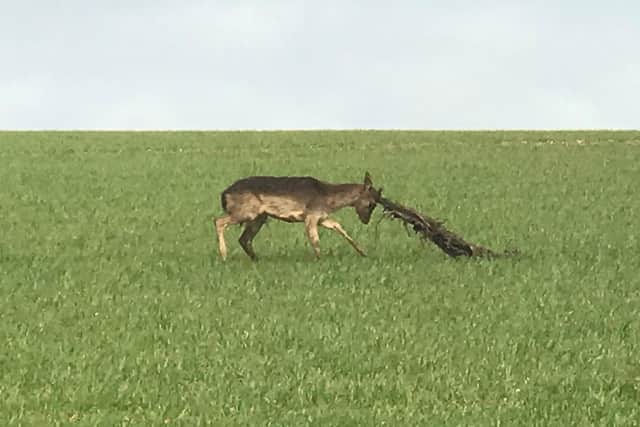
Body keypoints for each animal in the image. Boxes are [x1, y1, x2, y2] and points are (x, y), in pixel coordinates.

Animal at [214, 172, 383, 261]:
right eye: (371, 203)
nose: (366, 220)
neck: (328, 198)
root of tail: (224, 194)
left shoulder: (322, 217)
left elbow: (339, 227)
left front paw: (363, 253)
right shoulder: (311, 216)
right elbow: (315, 239)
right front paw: (320, 259)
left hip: (259, 217)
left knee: (244, 238)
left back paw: (256, 259)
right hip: (247, 212)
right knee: (218, 221)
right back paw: (224, 256)